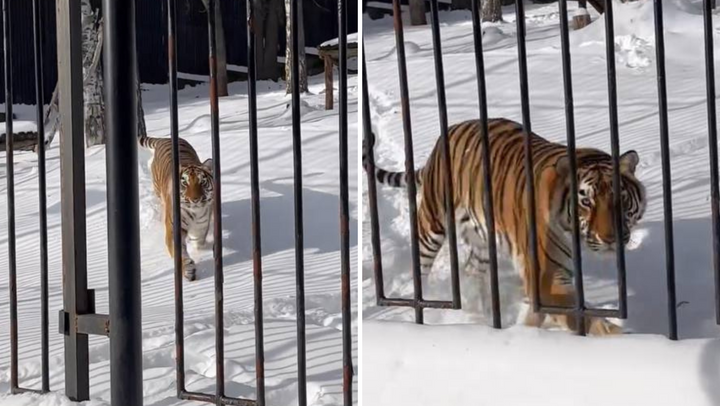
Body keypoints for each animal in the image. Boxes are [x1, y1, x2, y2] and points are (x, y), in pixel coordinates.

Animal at [140, 135, 214, 280]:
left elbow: (198, 243)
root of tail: (164, 139)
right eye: (185, 183)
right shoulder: (174, 230)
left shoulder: (200, 229)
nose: (195, 199)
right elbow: (180, 254)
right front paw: (188, 269)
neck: (195, 213)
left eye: (202, 182)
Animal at [366, 117, 648, 336]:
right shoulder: (547, 276)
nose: (610, 238)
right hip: (432, 223)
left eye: (620, 199)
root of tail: (449, 131)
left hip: (481, 241)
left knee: (472, 272)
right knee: (422, 268)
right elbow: (585, 318)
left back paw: (481, 317)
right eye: (586, 202)